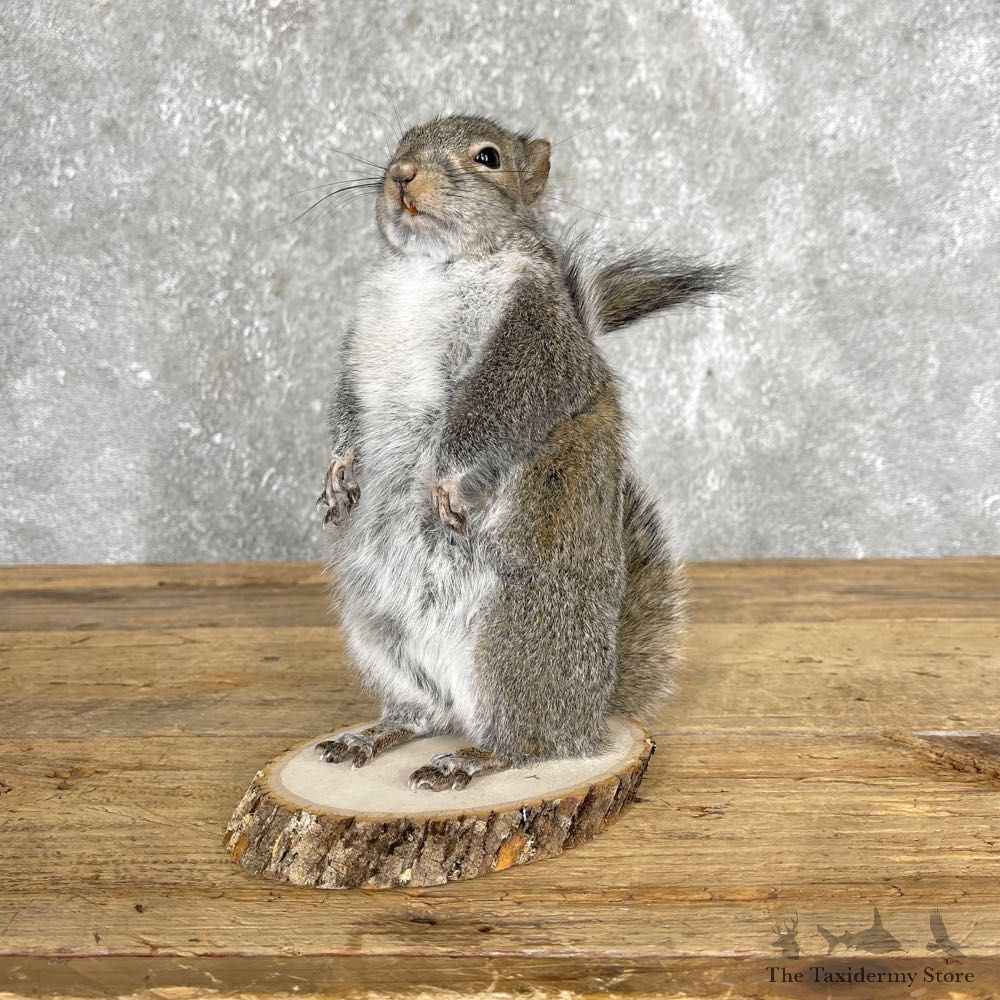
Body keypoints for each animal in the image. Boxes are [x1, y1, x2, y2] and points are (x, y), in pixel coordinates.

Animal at [314, 114, 734, 791]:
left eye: (488, 158)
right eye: (399, 143)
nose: (402, 174)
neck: (430, 269)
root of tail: (592, 707)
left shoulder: (534, 344)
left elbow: (489, 417)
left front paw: (448, 483)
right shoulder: (361, 342)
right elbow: (349, 410)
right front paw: (337, 474)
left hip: (512, 644)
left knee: (531, 743)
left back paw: (473, 759)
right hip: (381, 637)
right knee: (421, 712)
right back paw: (373, 735)